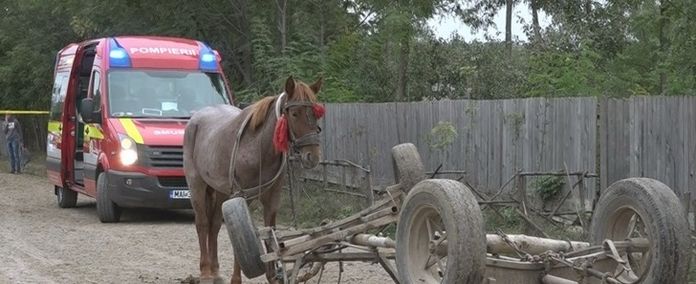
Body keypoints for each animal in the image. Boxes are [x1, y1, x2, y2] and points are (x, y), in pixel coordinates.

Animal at [185, 76, 326, 284]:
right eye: (294, 113)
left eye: (315, 113)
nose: (312, 156)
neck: (258, 147)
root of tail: (195, 118)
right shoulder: (242, 198)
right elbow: (242, 237)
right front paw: (237, 278)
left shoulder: (272, 198)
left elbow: (269, 232)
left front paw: (273, 275)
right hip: (197, 185)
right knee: (202, 223)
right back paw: (205, 272)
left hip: (220, 191)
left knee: (215, 224)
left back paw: (215, 270)